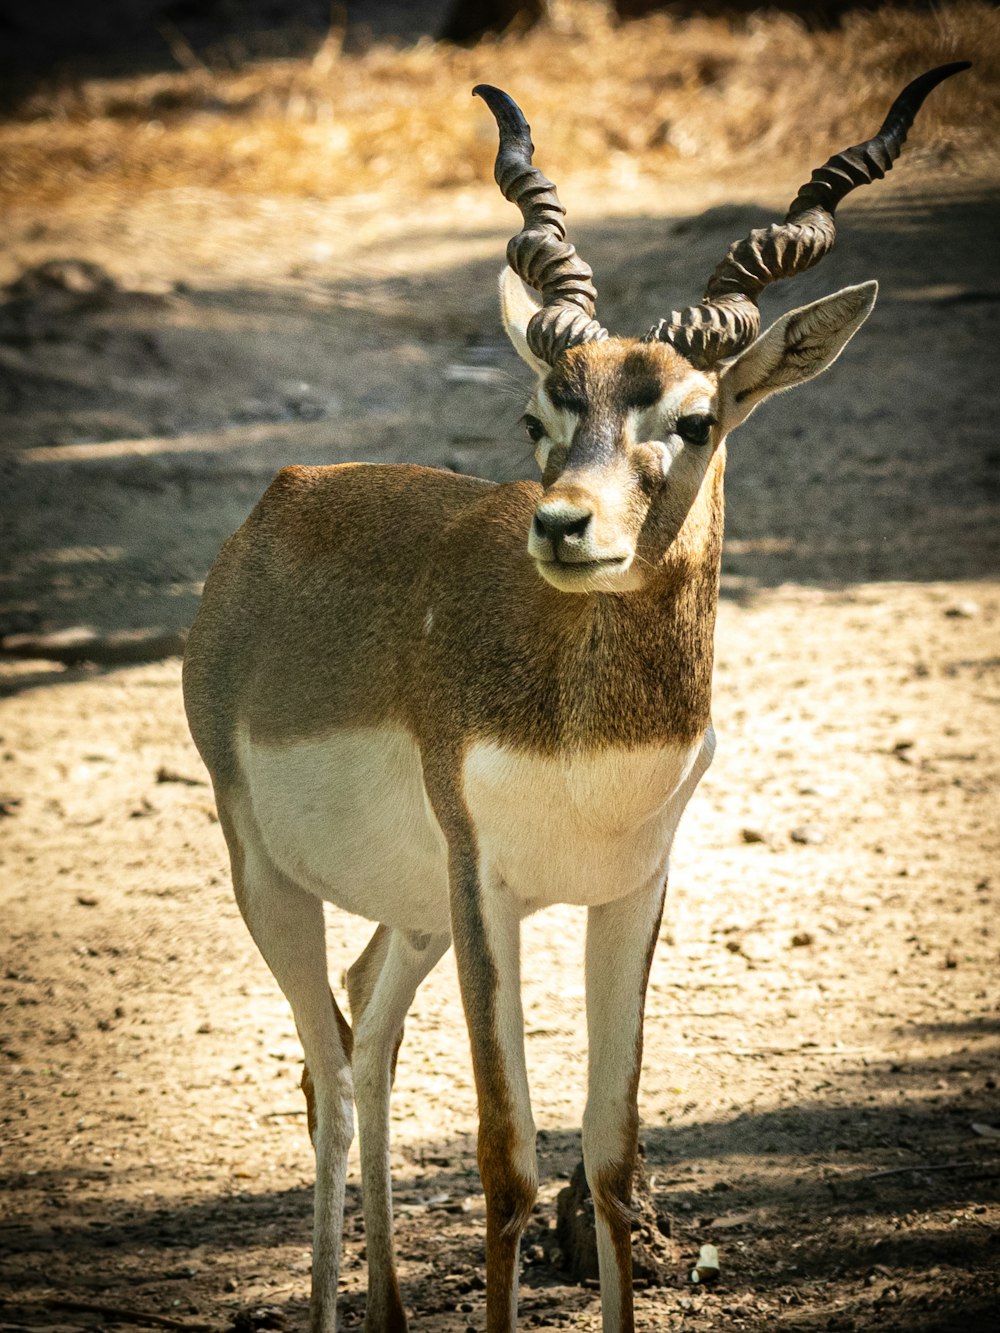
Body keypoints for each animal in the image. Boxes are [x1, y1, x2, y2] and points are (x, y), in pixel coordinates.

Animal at [182, 67, 970, 1333]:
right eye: (538, 415)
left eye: (694, 419)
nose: (562, 525)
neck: (582, 735)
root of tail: (282, 499)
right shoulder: (485, 889)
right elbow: (508, 1163)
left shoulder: (632, 889)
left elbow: (608, 1158)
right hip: (271, 876)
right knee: (326, 1069)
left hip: (411, 911)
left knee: (363, 1033)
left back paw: (390, 1308)